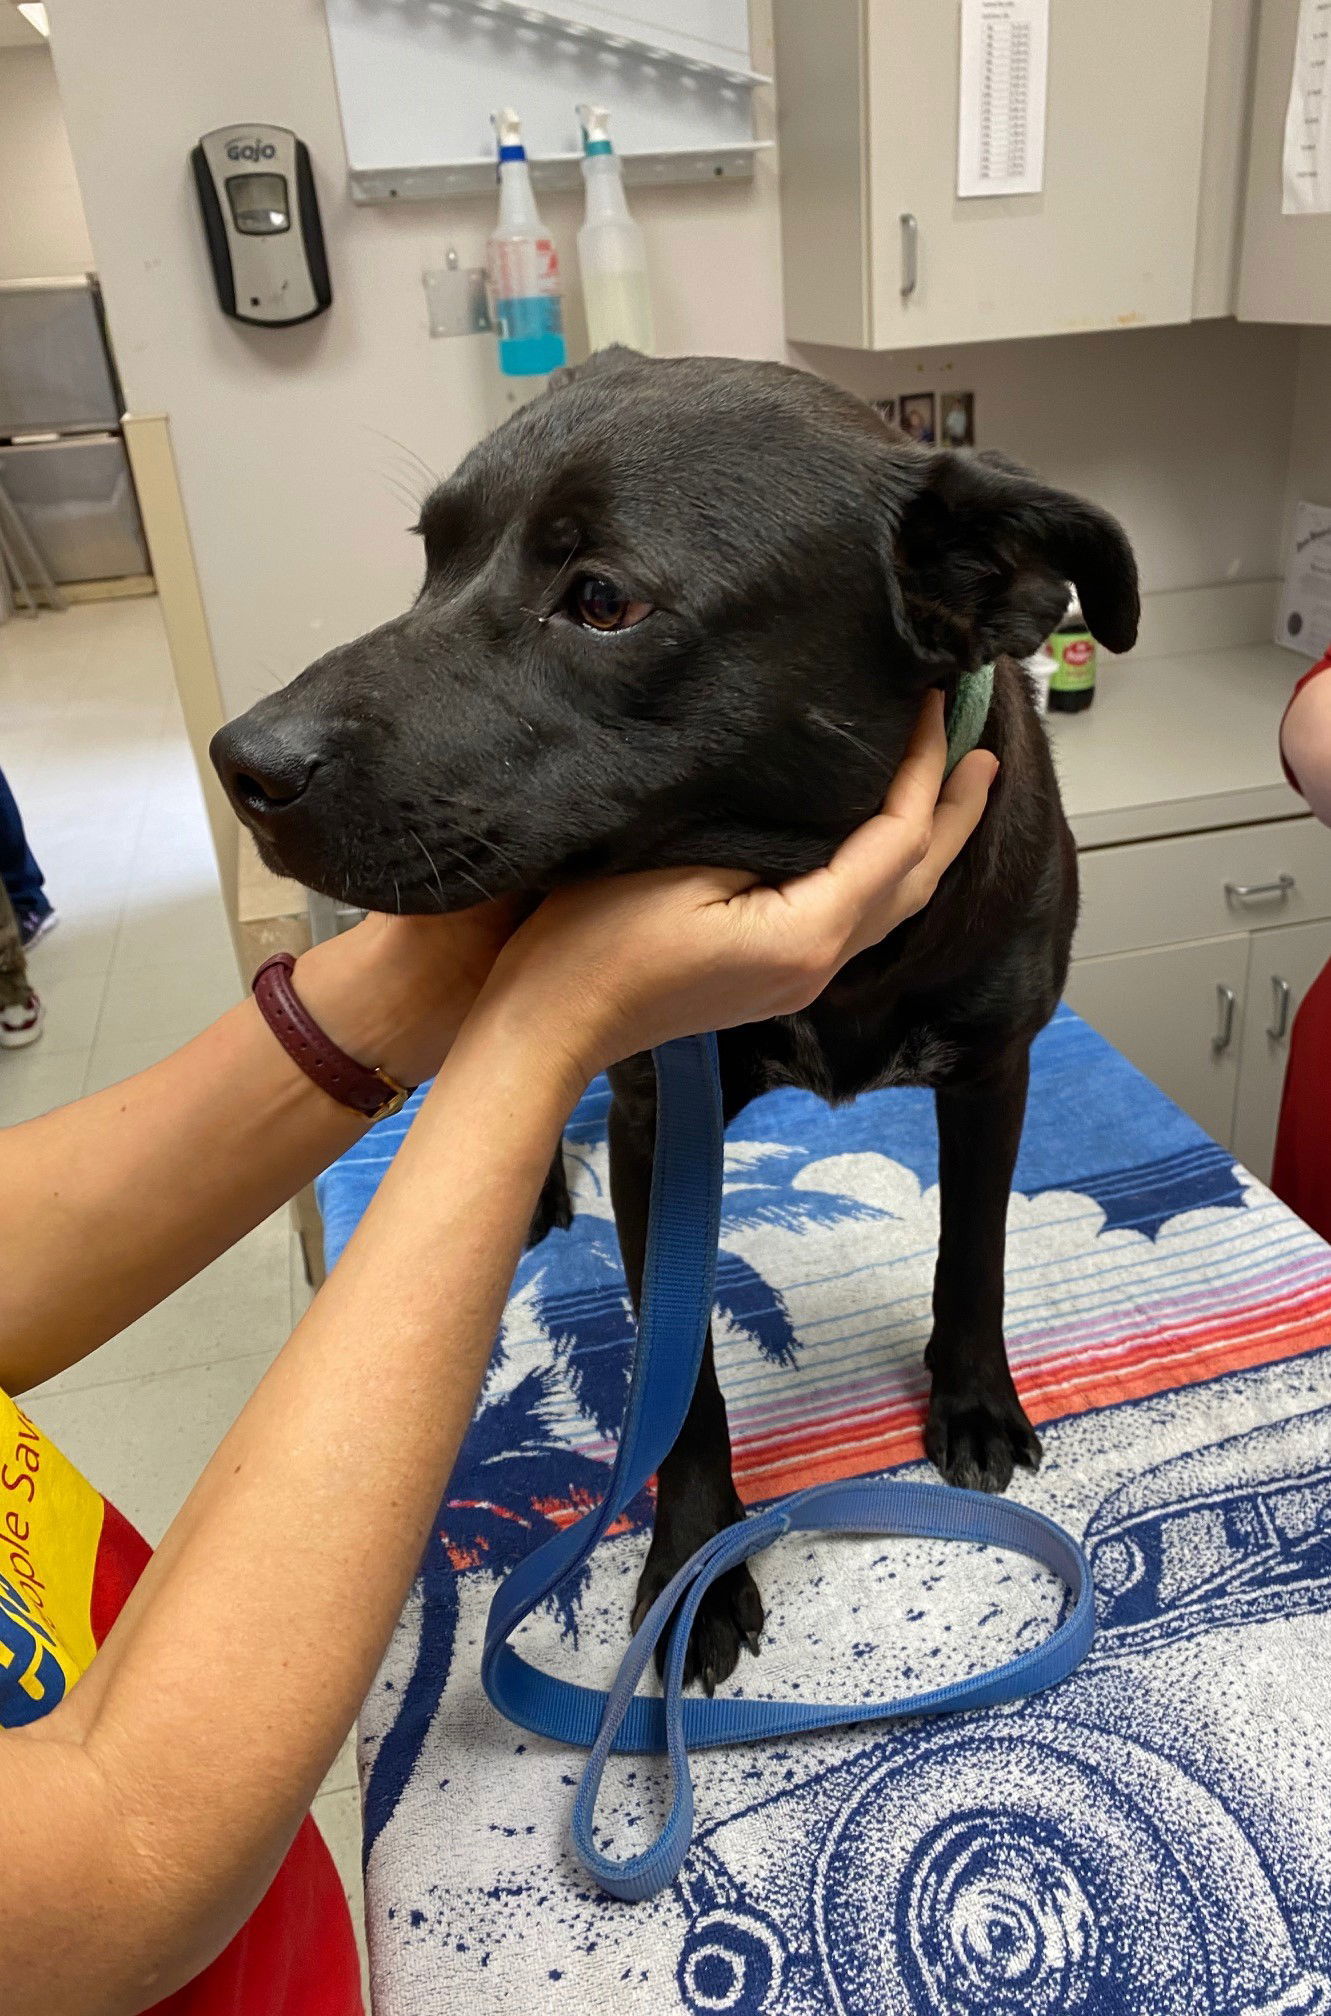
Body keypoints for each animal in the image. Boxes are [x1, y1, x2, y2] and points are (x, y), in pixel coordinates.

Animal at [212, 354, 1137, 1693]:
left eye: (601, 600)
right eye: (433, 556)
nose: (243, 765)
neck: (844, 953)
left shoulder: (992, 1070)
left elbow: (974, 1251)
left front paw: (970, 1401)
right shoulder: (659, 1115)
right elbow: (680, 1378)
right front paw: (693, 1568)